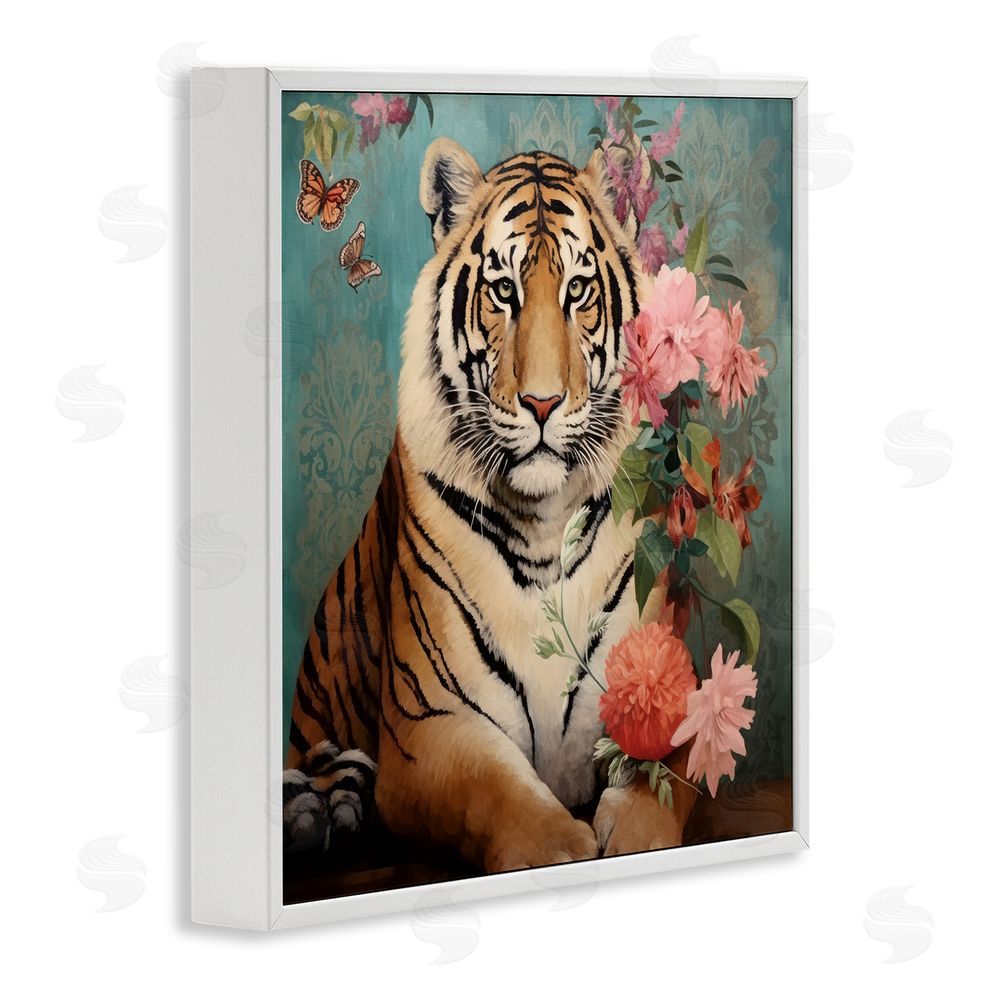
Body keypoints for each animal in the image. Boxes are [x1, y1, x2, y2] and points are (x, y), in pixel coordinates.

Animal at [283, 138, 697, 873]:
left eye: (578, 290)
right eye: (503, 290)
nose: (541, 402)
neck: (544, 521)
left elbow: (664, 777)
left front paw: (636, 834)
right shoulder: (430, 728)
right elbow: (503, 798)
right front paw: (566, 846)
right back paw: (318, 815)